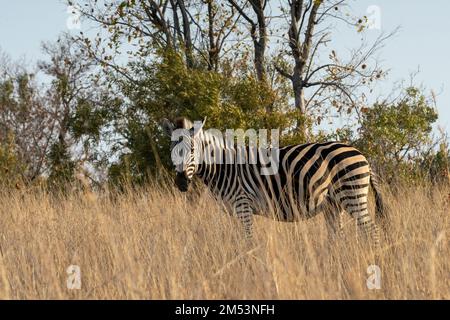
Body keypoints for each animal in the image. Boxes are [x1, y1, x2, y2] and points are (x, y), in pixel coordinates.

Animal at [162, 117, 386, 248]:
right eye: (172, 150)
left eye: (192, 150)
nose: (181, 183)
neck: (224, 167)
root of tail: (362, 154)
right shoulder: (232, 210)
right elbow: (237, 242)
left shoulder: (242, 205)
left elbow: (248, 242)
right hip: (333, 204)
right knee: (339, 237)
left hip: (352, 194)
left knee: (372, 232)